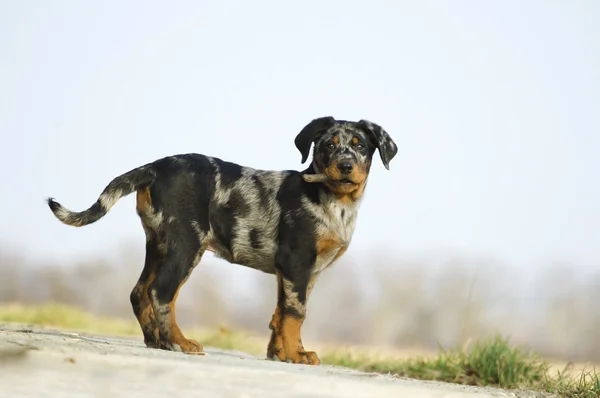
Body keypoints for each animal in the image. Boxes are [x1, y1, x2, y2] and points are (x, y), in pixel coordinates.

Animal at [47, 115, 398, 364]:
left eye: (360, 146)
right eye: (329, 146)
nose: (345, 166)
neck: (334, 201)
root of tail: (155, 167)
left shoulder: (302, 273)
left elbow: (283, 313)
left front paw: (282, 353)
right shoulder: (297, 262)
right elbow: (295, 313)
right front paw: (294, 355)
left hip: (158, 243)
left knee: (140, 292)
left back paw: (156, 341)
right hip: (186, 244)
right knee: (162, 293)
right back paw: (178, 342)